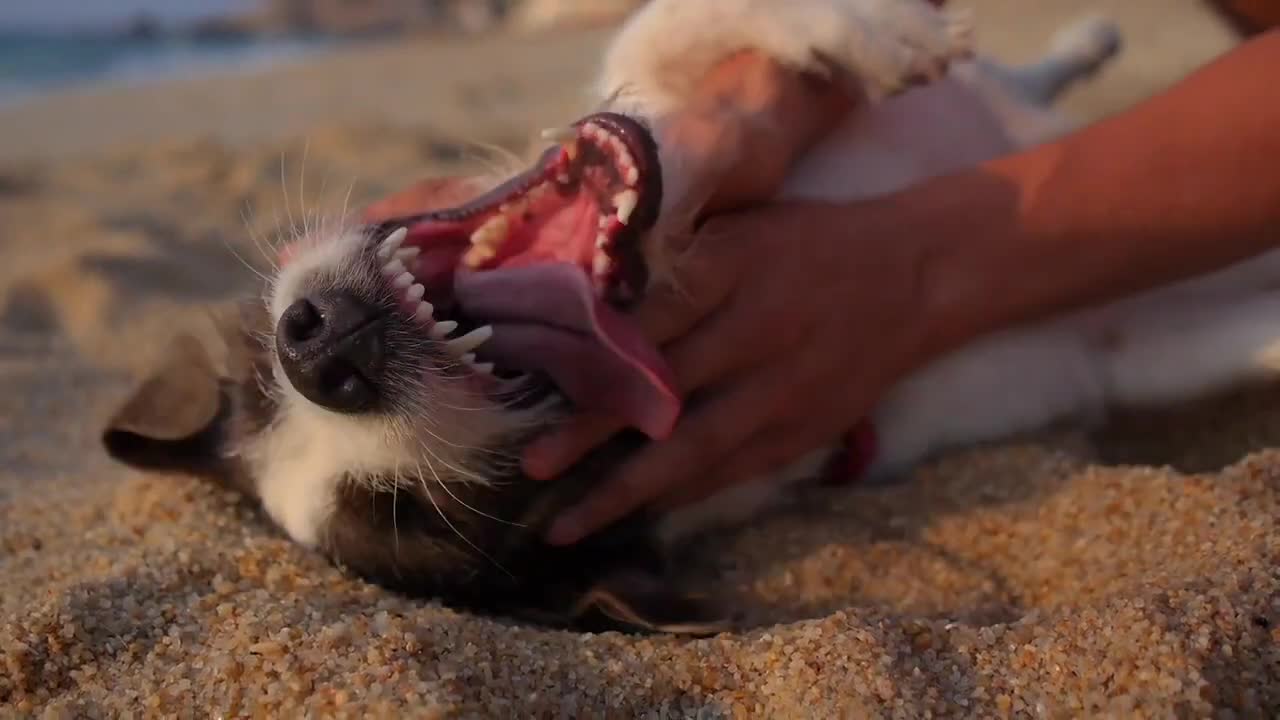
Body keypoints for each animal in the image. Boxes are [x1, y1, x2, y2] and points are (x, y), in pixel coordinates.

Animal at [104, 0, 1274, 627]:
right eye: (410, 515)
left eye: (262, 378)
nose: (319, 355)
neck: (668, 258)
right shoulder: (1113, 346)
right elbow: (1238, 333)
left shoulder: (677, 103)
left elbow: (667, 40)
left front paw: (873, 30)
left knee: (1018, 74)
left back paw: (1078, 43)